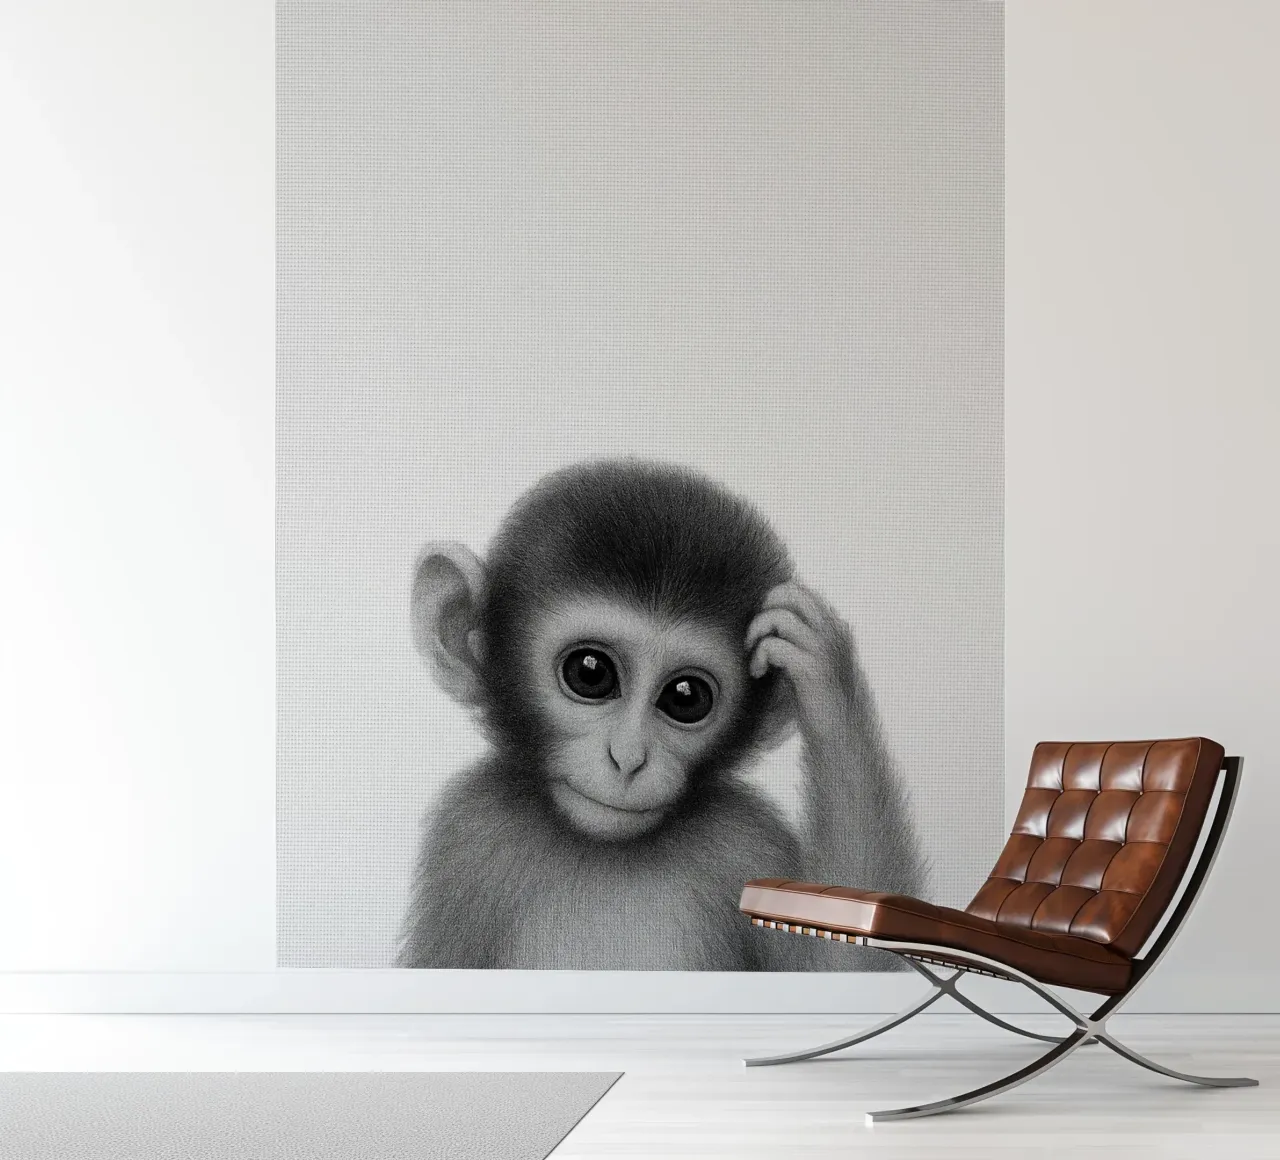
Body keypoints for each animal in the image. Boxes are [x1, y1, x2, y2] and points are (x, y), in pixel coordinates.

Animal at [398, 458, 924, 970]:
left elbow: (839, 968)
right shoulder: (469, 834)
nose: (628, 758)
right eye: (589, 672)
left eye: (685, 698)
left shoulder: (747, 837)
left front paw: (825, 671)